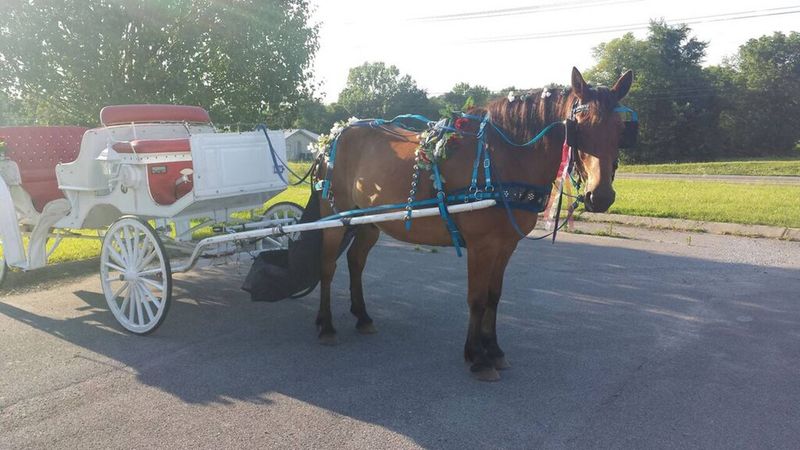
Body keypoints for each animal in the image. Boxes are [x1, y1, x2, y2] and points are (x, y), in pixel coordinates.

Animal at [313, 67, 633, 381]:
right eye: (577, 126)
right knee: (327, 267)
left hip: (368, 222)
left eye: (620, 128)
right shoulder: (482, 245)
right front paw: (477, 357)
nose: (600, 196)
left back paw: (362, 316)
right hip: (334, 218)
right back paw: (326, 325)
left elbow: (493, 296)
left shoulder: (506, 245)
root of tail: (335, 135)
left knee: (355, 261)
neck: (505, 158)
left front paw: (494, 349)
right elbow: (477, 298)